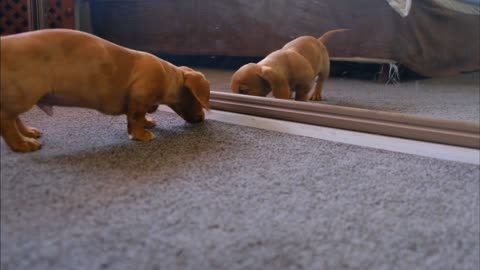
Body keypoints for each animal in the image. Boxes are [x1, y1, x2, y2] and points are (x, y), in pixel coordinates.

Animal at [0, 29, 210, 153]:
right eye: (196, 98)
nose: (201, 119)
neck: (168, 75)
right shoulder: (138, 98)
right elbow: (135, 118)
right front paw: (141, 135)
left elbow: (140, 116)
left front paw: (147, 122)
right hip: (23, 94)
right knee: (6, 120)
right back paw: (22, 143)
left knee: (15, 118)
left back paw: (28, 132)